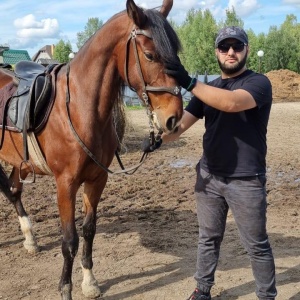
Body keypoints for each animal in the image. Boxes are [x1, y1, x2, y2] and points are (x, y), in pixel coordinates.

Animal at [0, 0, 182, 300]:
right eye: (150, 55)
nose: (173, 118)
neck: (79, 107)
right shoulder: (65, 184)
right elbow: (69, 240)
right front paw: (66, 288)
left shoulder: (97, 179)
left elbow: (88, 231)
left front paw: (89, 282)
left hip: (20, 161)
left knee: (14, 191)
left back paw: (30, 239)